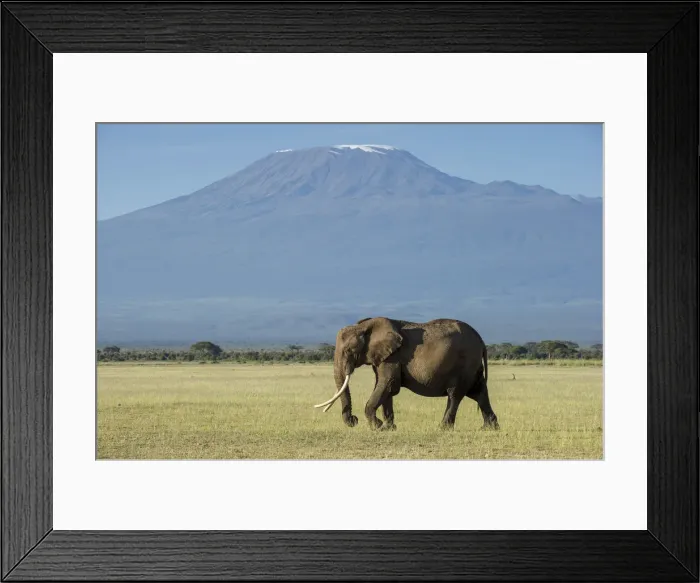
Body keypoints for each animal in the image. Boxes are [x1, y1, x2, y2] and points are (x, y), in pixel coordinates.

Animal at [313, 316, 499, 431]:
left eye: (349, 350)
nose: (354, 420)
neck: (364, 326)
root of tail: (482, 341)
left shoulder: (393, 356)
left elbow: (387, 384)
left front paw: (377, 427)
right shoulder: (384, 356)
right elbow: (384, 387)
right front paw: (388, 428)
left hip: (464, 363)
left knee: (455, 394)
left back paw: (443, 428)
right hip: (472, 366)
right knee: (478, 392)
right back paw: (489, 428)